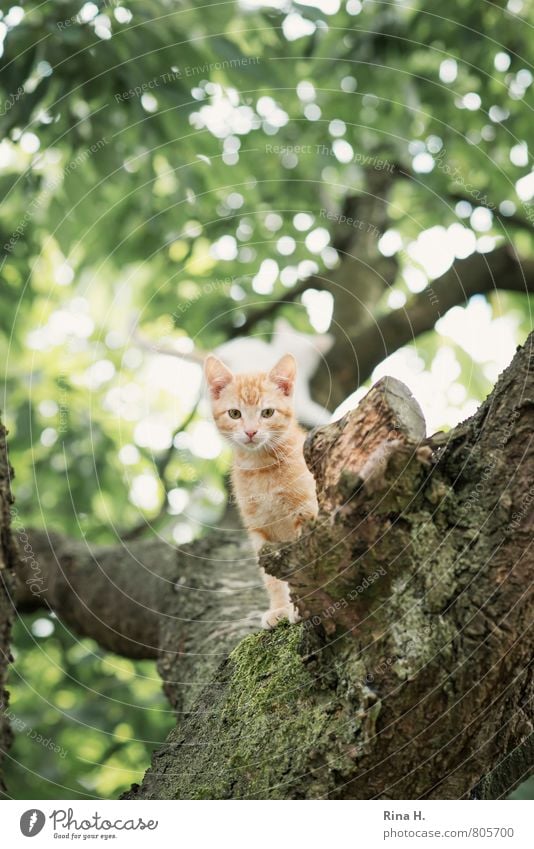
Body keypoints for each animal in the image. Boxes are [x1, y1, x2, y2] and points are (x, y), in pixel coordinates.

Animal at [206, 352, 320, 628]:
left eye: (267, 412)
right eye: (234, 413)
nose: (250, 431)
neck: (260, 467)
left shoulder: (307, 513)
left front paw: (302, 608)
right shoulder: (261, 531)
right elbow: (274, 580)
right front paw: (280, 608)